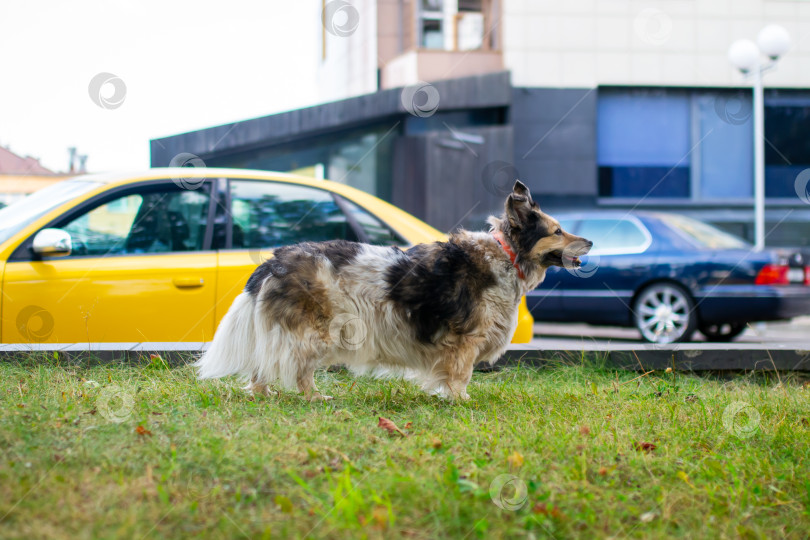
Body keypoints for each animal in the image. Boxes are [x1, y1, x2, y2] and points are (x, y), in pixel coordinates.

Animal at [193, 181, 592, 400]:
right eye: (557, 231)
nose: (589, 241)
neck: (507, 255)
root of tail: (274, 260)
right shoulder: (465, 341)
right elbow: (460, 376)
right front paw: (461, 400)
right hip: (313, 334)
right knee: (293, 370)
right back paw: (314, 397)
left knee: (264, 368)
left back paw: (267, 395)